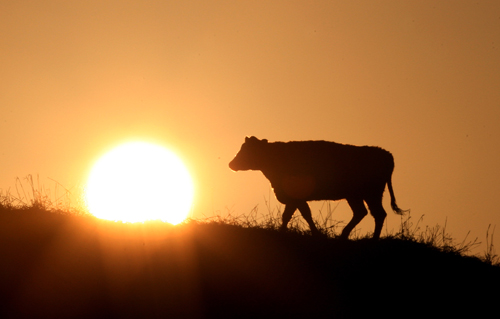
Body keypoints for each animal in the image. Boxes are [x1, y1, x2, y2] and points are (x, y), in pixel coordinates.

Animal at [229, 137, 408, 240]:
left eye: (247, 150)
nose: (231, 164)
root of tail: (386, 153)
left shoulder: (296, 197)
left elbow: (301, 215)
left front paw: (312, 233)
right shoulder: (294, 198)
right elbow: (293, 215)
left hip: (372, 193)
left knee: (378, 214)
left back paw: (373, 239)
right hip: (356, 195)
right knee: (362, 212)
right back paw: (343, 235)